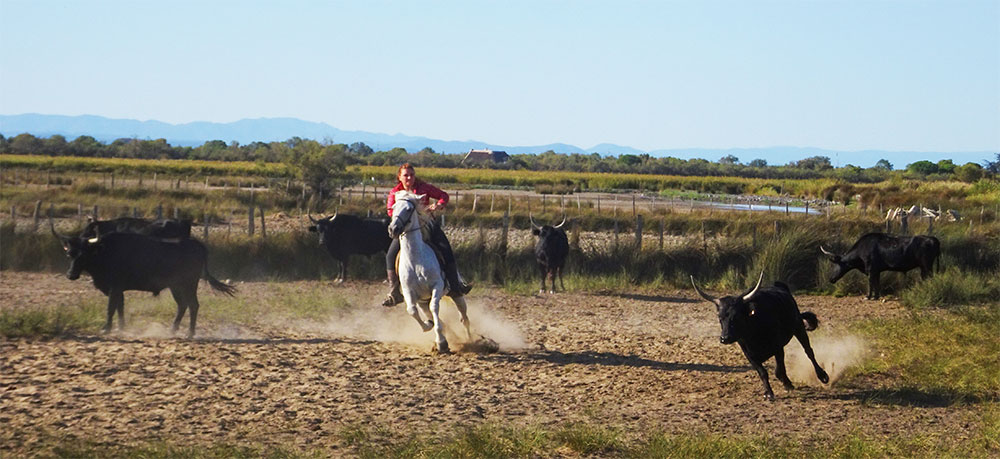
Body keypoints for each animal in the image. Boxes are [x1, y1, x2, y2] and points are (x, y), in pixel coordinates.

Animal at [52, 219, 236, 338]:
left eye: (84, 255)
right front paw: (121, 327)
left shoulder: (114, 288)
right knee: (183, 305)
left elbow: (110, 308)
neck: (103, 251)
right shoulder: (118, 290)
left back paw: (190, 333)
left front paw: (106, 328)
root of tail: (196, 244)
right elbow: (120, 307)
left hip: (189, 285)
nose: (71, 275)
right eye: (69, 254)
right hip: (176, 287)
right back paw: (172, 330)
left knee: (193, 305)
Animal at [388, 190, 470, 352]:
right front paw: (429, 326)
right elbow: (412, 310)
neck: (416, 260)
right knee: (432, 315)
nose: (393, 229)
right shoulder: (409, 292)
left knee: (464, 318)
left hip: (456, 294)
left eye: (408, 209)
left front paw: (441, 343)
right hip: (422, 301)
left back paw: (474, 340)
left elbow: (434, 307)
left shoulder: (436, 286)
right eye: (393, 207)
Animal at [696, 274, 828, 400]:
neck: (753, 333)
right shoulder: (749, 354)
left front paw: (787, 384)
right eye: (720, 318)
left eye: (736, 316)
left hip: (798, 327)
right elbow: (763, 372)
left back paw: (822, 376)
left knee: (809, 351)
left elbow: (779, 369)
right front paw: (768, 393)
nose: (725, 338)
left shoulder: (777, 347)